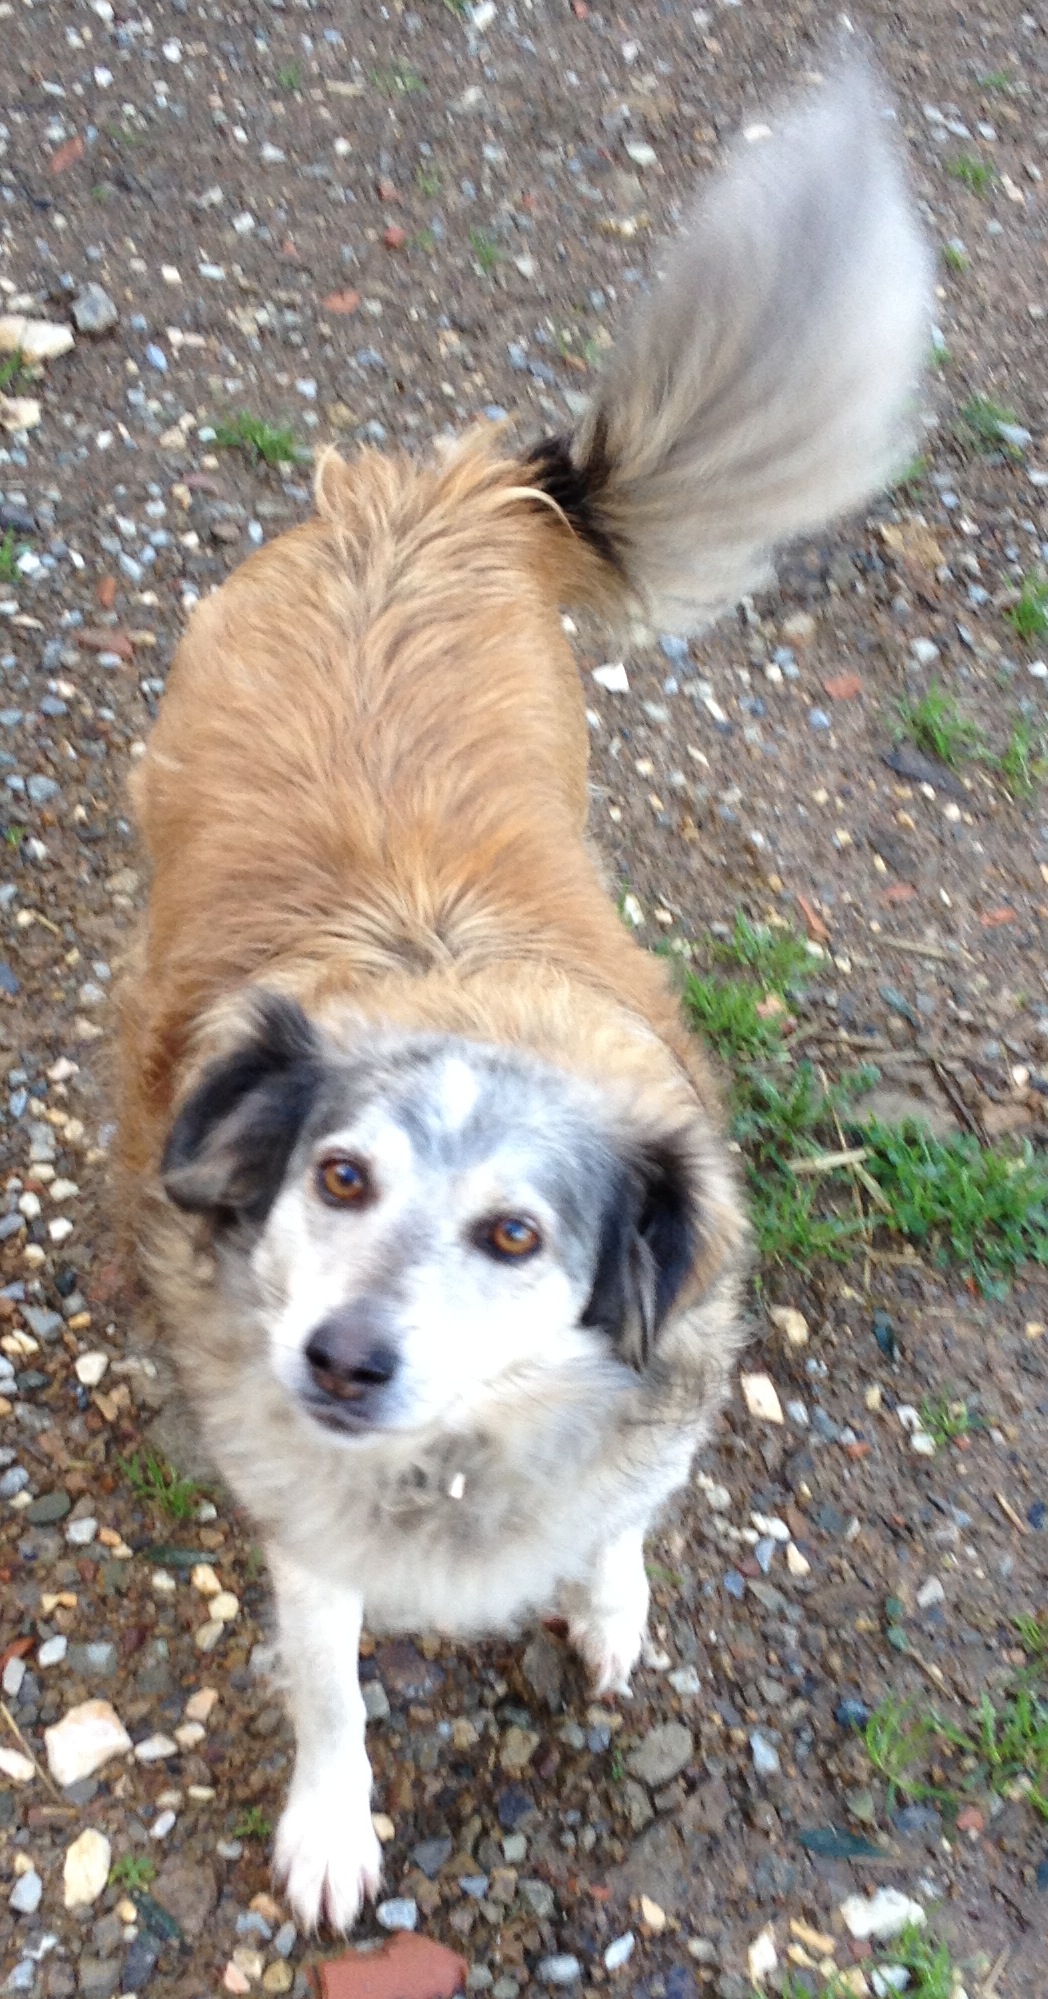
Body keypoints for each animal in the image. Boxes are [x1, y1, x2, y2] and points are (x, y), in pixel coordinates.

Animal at [117, 67, 929, 1931]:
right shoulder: (310, 1523)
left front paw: (607, 1601)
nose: (340, 1359)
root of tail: (424, 494)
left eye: (514, 1234)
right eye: (338, 1175)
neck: (460, 1448)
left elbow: (622, 1518)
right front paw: (333, 1825)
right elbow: (329, 1682)